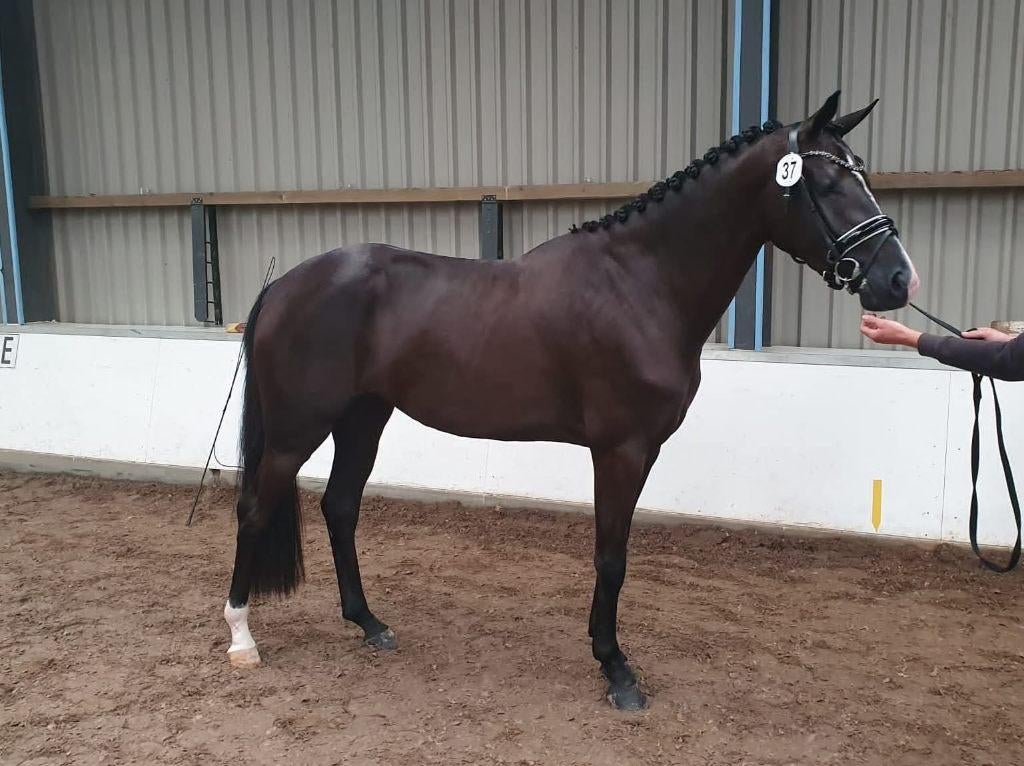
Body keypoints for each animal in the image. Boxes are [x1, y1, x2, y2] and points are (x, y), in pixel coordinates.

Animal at [222, 91, 918, 710]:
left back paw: (369, 623)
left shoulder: (640, 452)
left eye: (862, 175)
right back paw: (241, 639)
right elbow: (611, 558)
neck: (640, 284)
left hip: (363, 417)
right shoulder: (620, 450)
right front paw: (617, 671)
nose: (898, 279)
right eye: (827, 183)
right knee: (256, 507)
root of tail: (283, 285)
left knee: (340, 507)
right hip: (297, 429)